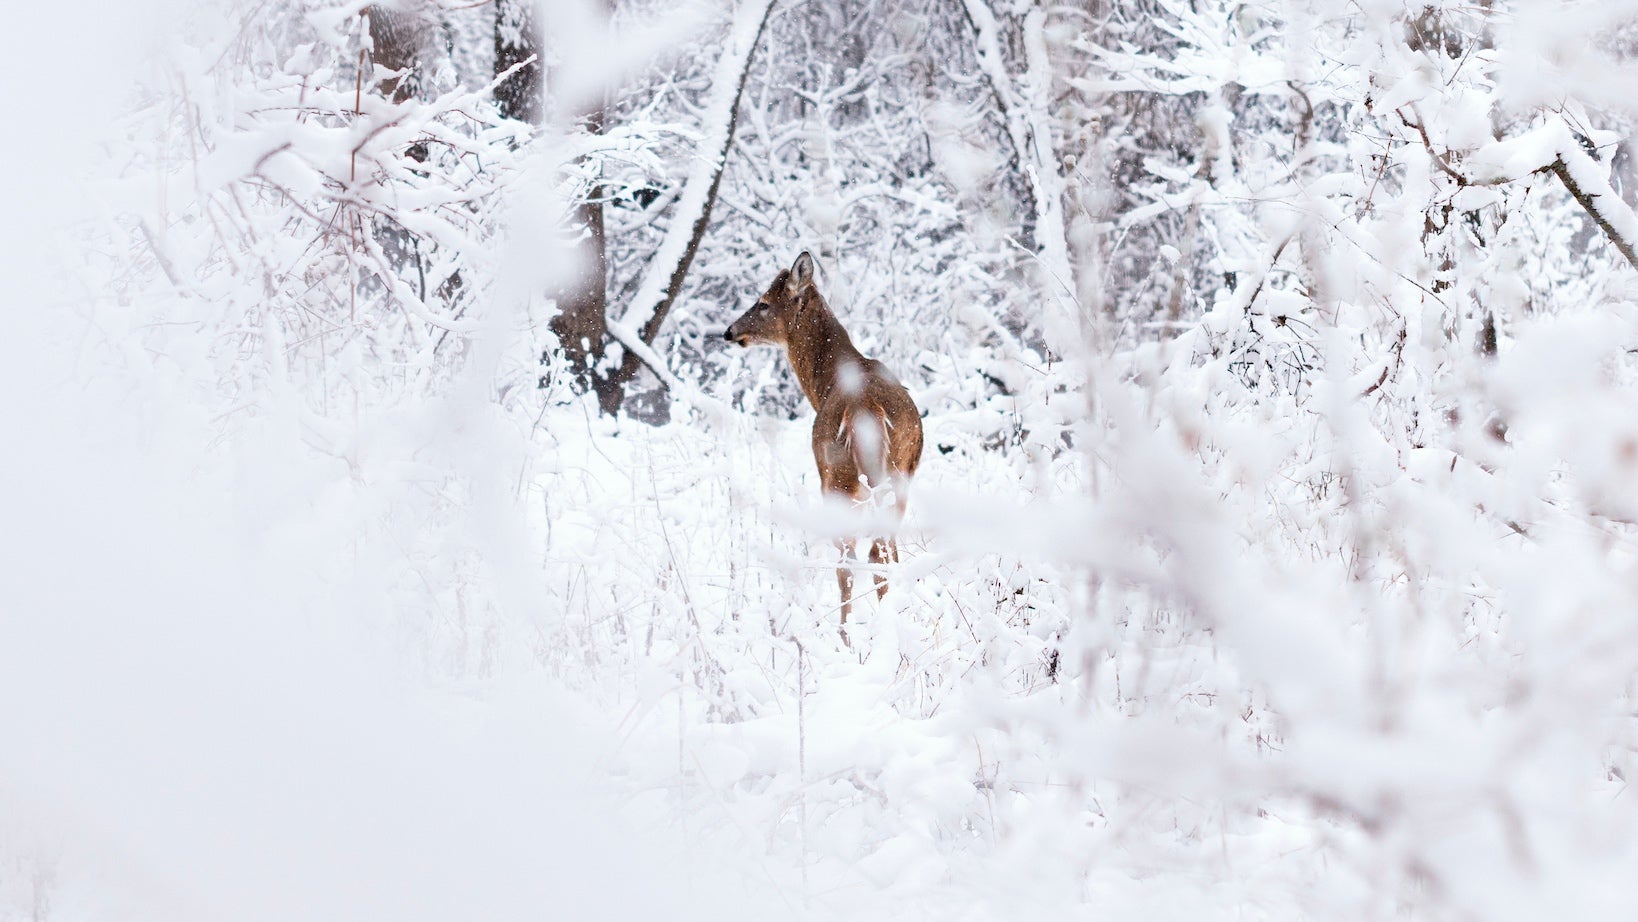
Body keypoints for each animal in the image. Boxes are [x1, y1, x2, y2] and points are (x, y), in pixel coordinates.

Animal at [724, 252, 923, 641]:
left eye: (764, 303)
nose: (730, 330)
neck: (825, 383)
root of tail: (865, 409)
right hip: (896, 475)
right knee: (883, 549)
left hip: (837, 476)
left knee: (853, 558)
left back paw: (845, 636)